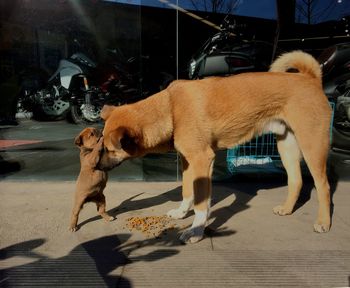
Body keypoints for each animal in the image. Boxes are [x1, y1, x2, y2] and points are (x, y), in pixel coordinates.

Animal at [98, 51, 330, 243]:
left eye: (110, 150)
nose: (97, 166)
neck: (170, 109)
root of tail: (310, 79)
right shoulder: (189, 161)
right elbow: (187, 191)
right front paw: (182, 213)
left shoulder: (202, 159)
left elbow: (201, 205)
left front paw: (195, 231)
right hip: (286, 145)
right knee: (296, 180)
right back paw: (287, 209)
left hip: (312, 145)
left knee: (323, 186)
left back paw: (324, 222)